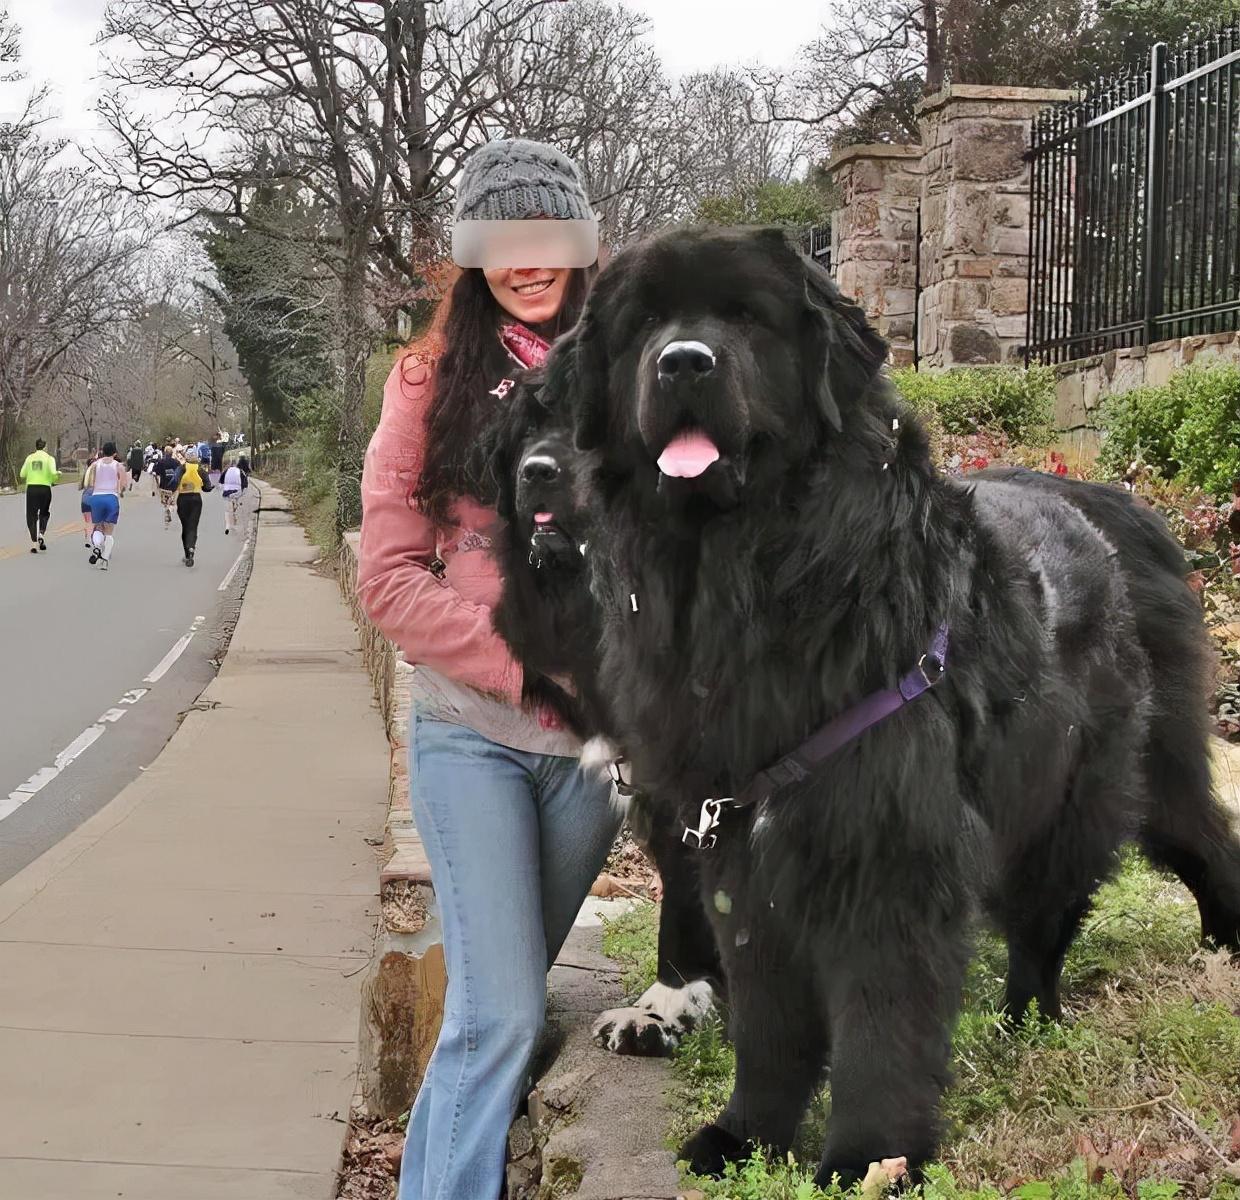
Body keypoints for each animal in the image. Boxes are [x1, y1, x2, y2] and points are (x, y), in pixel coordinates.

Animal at [488, 229, 1240, 1185]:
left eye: (746, 318)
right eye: (645, 326)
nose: (683, 361)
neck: (748, 575)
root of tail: (1098, 501)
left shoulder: (887, 847)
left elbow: (884, 1023)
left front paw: (867, 1159)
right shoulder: (735, 837)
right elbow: (767, 1016)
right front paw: (745, 1135)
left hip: (1093, 787)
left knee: (1100, 887)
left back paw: (1070, 1001)